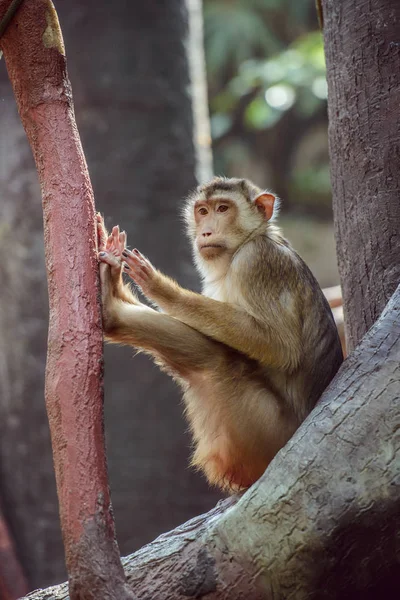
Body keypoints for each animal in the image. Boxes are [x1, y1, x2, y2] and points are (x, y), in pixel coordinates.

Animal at [97, 177, 344, 492]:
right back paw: (111, 305)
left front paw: (163, 290)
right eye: (202, 211)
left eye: (223, 209)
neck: (247, 242)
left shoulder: (256, 261)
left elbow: (280, 346)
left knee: (220, 361)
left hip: (267, 435)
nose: (206, 231)